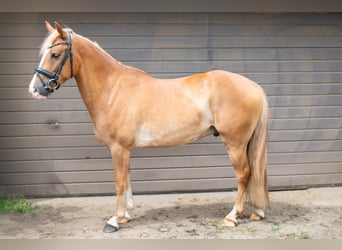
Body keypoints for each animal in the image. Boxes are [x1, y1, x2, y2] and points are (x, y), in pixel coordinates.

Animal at [29, 22, 268, 233]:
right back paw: (256, 211)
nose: (34, 89)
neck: (113, 89)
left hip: (235, 144)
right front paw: (125, 216)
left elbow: (119, 183)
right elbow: (127, 180)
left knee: (244, 174)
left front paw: (114, 221)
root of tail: (253, 86)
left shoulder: (117, 149)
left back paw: (232, 217)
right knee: (254, 172)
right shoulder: (125, 150)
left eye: (55, 55)